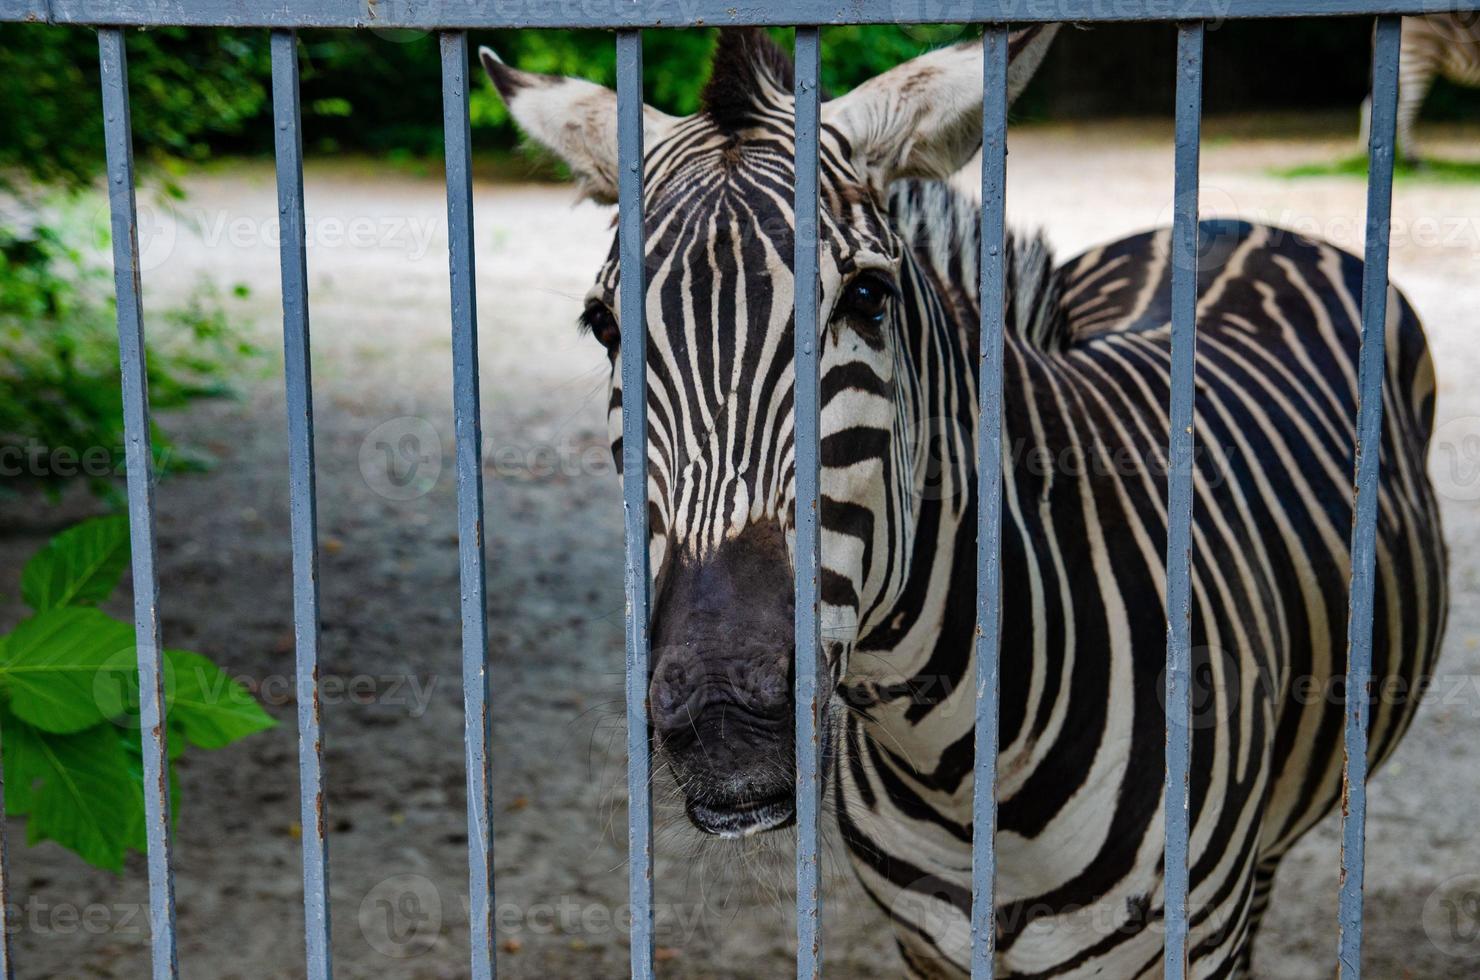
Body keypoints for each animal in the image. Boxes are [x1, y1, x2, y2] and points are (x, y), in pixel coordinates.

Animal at [482, 26, 1444, 977]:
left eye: (868, 297)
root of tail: (1238, 223)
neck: (956, 766)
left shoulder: (1194, 940)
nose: (723, 711)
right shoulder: (928, 944)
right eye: (605, 326)